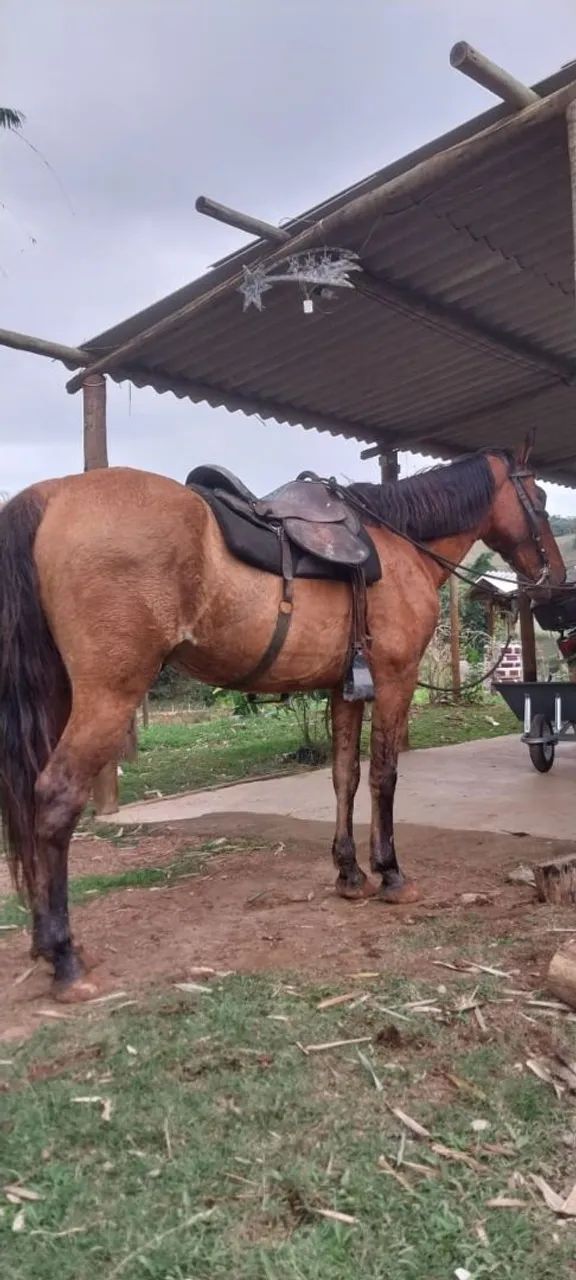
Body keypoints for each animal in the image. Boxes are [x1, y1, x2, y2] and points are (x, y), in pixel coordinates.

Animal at [0, 444, 565, 1001]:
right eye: (537, 498)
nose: (556, 580)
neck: (397, 545)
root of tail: (51, 495)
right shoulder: (394, 679)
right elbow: (383, 776)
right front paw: (390, 874)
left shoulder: (345, 689)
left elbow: (344, 777)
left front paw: (349, 874)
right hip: (108, 697)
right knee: (55, 798)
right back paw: (65, 959)